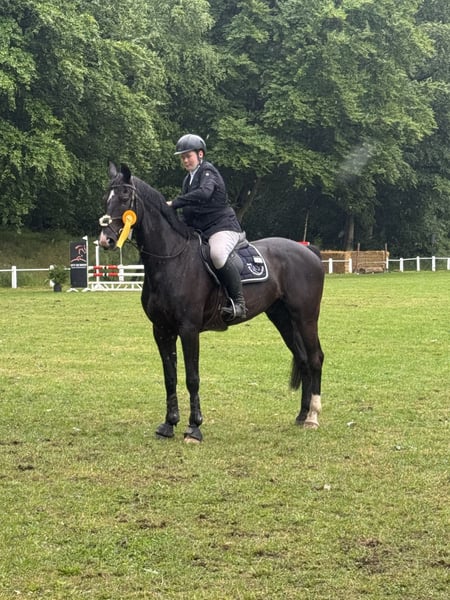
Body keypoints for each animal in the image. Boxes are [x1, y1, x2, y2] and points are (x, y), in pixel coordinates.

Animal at [98, 162, 325, 442]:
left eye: (124, 198)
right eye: (106, 199)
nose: (105, 240)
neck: (172, 259)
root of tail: (308, 251)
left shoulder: (189, 329)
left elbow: (192, 378)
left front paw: (194, 428)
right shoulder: (161, 330)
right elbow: (170, 377)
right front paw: (169, 424)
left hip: (306, 317)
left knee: (315, 358)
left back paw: (313, 417)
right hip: (282, 318)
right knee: (303, 359)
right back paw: (302, 415)